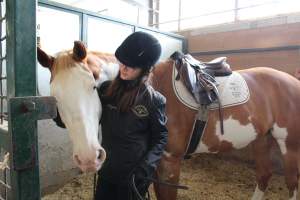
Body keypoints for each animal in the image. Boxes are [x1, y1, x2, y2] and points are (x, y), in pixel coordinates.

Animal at [38, 41, 300, 199]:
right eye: (55, 97)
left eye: (92, 86)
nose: (88, 158)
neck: (148, 86)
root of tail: (292, 81)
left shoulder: (170, 163)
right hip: (262, 138)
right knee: (264, 174)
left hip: (289, 146)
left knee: (291, 182)